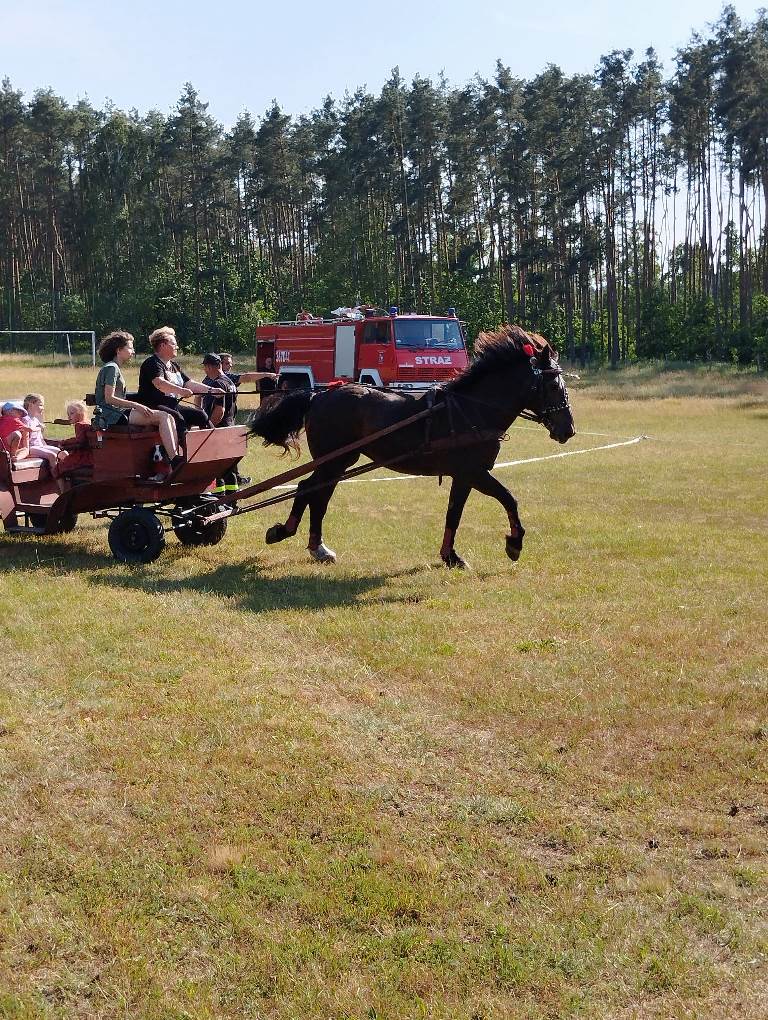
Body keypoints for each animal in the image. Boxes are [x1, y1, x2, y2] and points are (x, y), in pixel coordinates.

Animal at [249, 324, 575, 571]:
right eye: (553, 385)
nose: (568, 430)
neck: (473, 409)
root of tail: (319, 395)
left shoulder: (464, 475)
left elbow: (454, 514)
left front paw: (450, 556)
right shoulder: (474, 472)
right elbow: (509, 499)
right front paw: (514, 544)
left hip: (340, 461)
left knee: (319, 494)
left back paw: (317, 546)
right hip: (333, 460)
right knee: (307, 488)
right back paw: (285, 532)